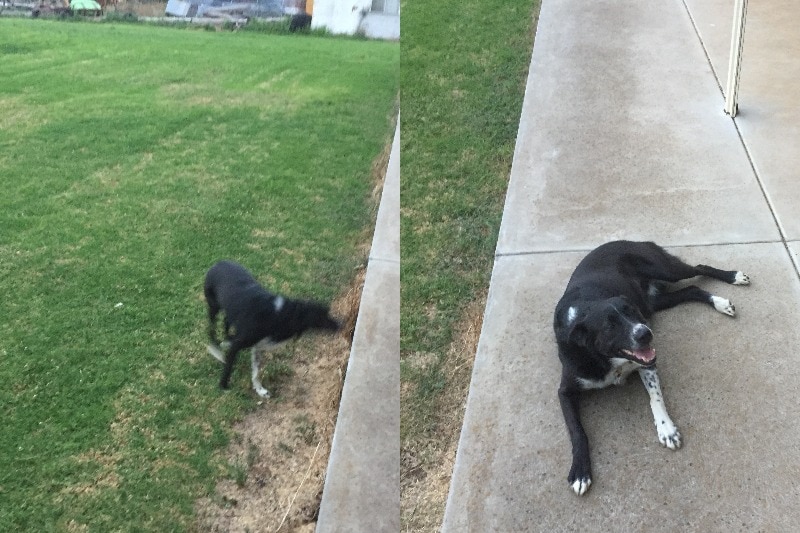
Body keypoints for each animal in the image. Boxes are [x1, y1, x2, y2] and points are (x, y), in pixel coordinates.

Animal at [205, 260, 340, 396]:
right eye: (322, 316)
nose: (340, 324)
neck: (279, 314)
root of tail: (219, 262)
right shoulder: (239, 344)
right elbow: (229, 366)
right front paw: (223, 385)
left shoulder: (257, 346)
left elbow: (256, 372)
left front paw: (260, 390)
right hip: (213, 306)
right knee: (211, 329)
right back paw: (217, 351)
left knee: (226, 321)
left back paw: (226, 340)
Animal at [552, 241, 748, 494]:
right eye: (609, 326)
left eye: (631, 311)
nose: (646, 333)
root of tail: (637, 241)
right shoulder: (565, 391)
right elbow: (577, 431)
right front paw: (580, 471)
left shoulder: (646, 362)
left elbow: (655, 397)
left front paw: (667, 429)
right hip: (655, 303)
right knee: (692, 289)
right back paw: (720, 302)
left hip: (664, 272)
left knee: (698, 269)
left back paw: (732, 280)